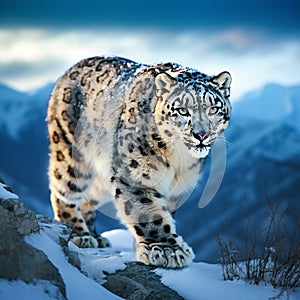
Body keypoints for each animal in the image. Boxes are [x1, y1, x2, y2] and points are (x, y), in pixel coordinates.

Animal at [47, 56, 231, 270]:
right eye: (182, 111)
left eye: (214, 109)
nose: (201, 135)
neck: (179, 160)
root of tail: (67, 72)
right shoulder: (136, 176)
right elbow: (148, 213)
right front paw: (167, 250)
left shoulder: (177, 189)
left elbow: (163, 212)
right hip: (72, 155)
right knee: (63, 190)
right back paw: (79, 234)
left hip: (101, 179)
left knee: (88, 199)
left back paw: (96, 236)